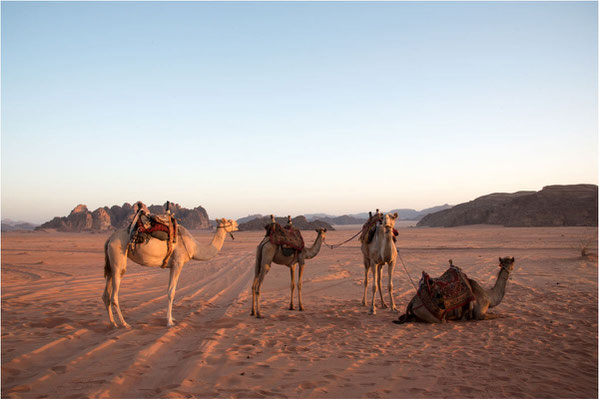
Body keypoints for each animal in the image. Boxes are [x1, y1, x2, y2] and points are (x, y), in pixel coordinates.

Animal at [102, 219, 238, 328]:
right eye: (229, 221)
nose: (237, 225)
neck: (194, 247)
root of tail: (109, 239)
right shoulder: (178, 262)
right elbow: (171, 292)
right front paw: (169, 322)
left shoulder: (172, 265)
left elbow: (168, 289)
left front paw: (171, 318)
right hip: (118, 258)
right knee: (114, 294)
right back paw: (125, 324)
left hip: (111, 263)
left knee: (106, 294)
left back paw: (113, 323)